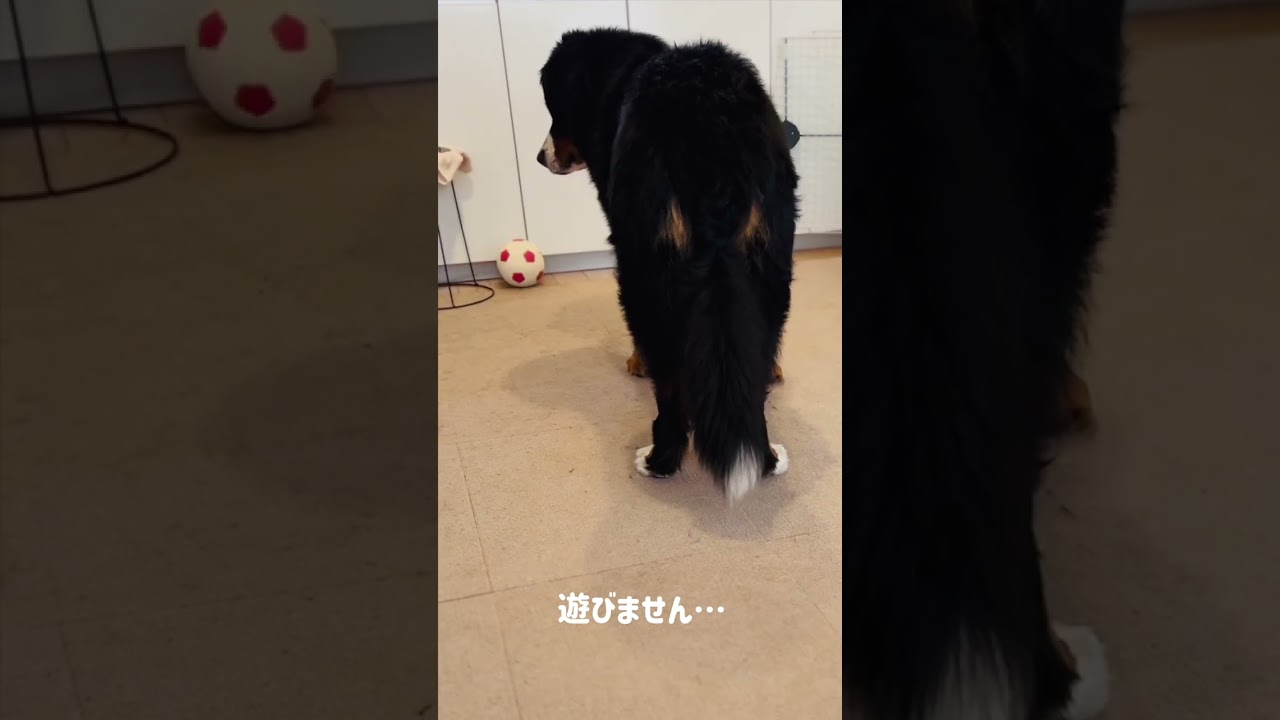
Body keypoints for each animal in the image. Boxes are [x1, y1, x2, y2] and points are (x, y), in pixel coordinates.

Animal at [536, 29, 798, 503]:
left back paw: (657, 460)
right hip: (770, 264)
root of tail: (708, 113)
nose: (539, 157)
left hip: (647, 271)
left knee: (670, 389)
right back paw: (768, 457)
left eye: (554, 109)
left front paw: (635, 364)